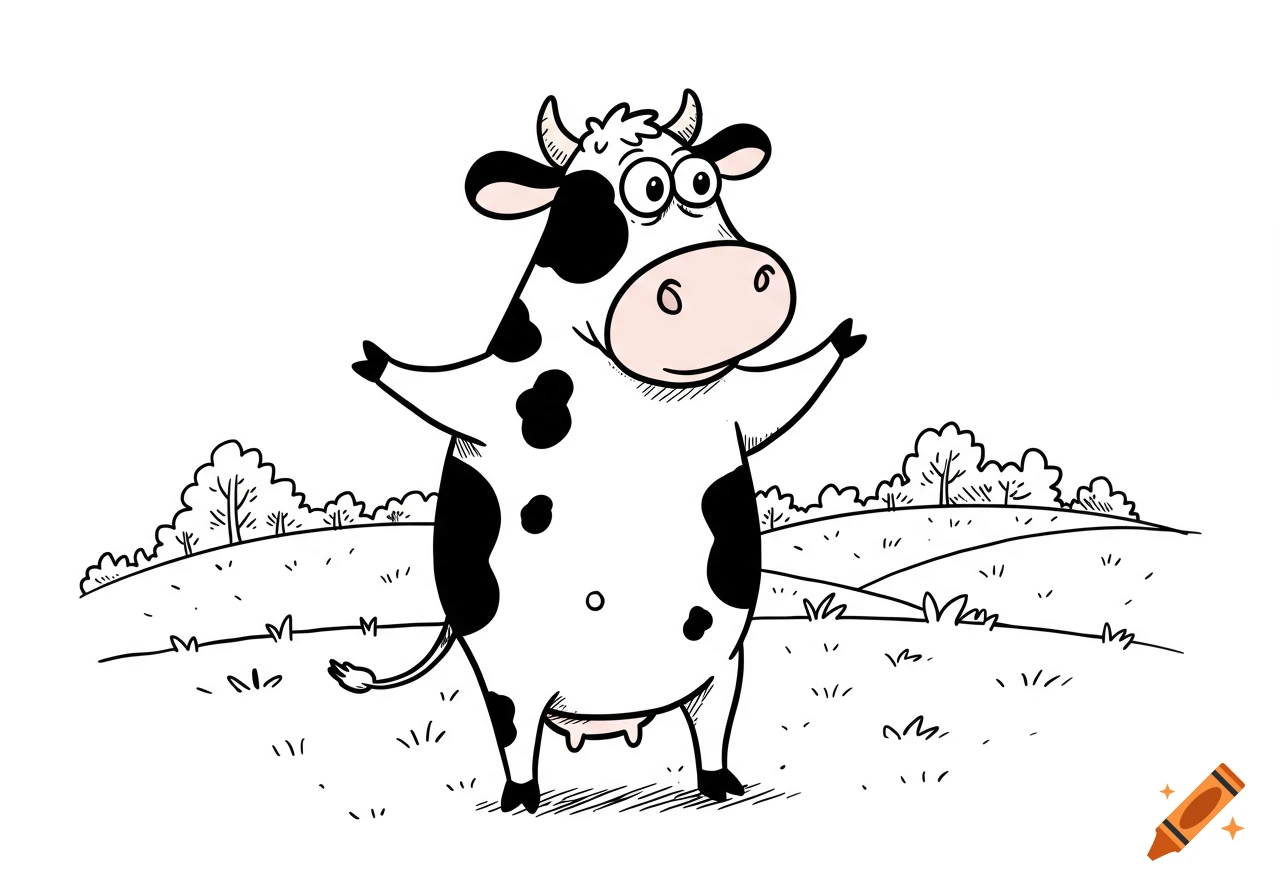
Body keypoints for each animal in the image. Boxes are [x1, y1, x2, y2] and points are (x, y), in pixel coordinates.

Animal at [328, 91, 866, 814]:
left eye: (702, 181)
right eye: (628, 194)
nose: (716, 278)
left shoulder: (736, 407)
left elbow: (788, 388)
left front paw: (843, 337)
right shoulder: (479, 402)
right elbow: (431, 389)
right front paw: (374, 359)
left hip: (726, 655)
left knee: (712, 720)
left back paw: (720, 785)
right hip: (507, 666)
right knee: (514, 729)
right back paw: (522, 799)